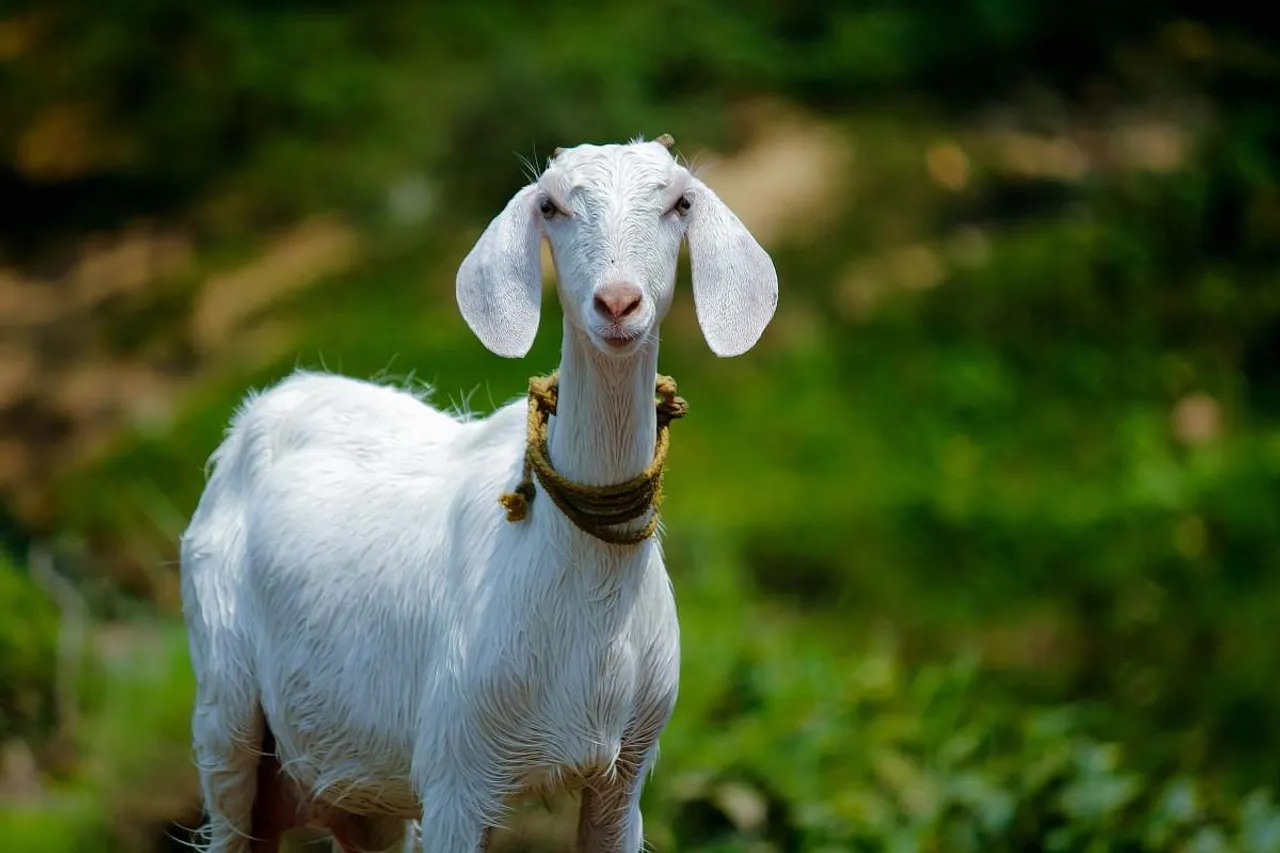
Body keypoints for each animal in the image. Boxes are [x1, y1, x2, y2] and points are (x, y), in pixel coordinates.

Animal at [179, 135, 779, 853]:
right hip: (224, 710)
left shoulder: (626, 772)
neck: (581, 587)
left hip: (359, 786)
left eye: (680, 201)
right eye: (551, 205)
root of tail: (264, 405)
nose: (617, 303)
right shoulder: (457, 772)